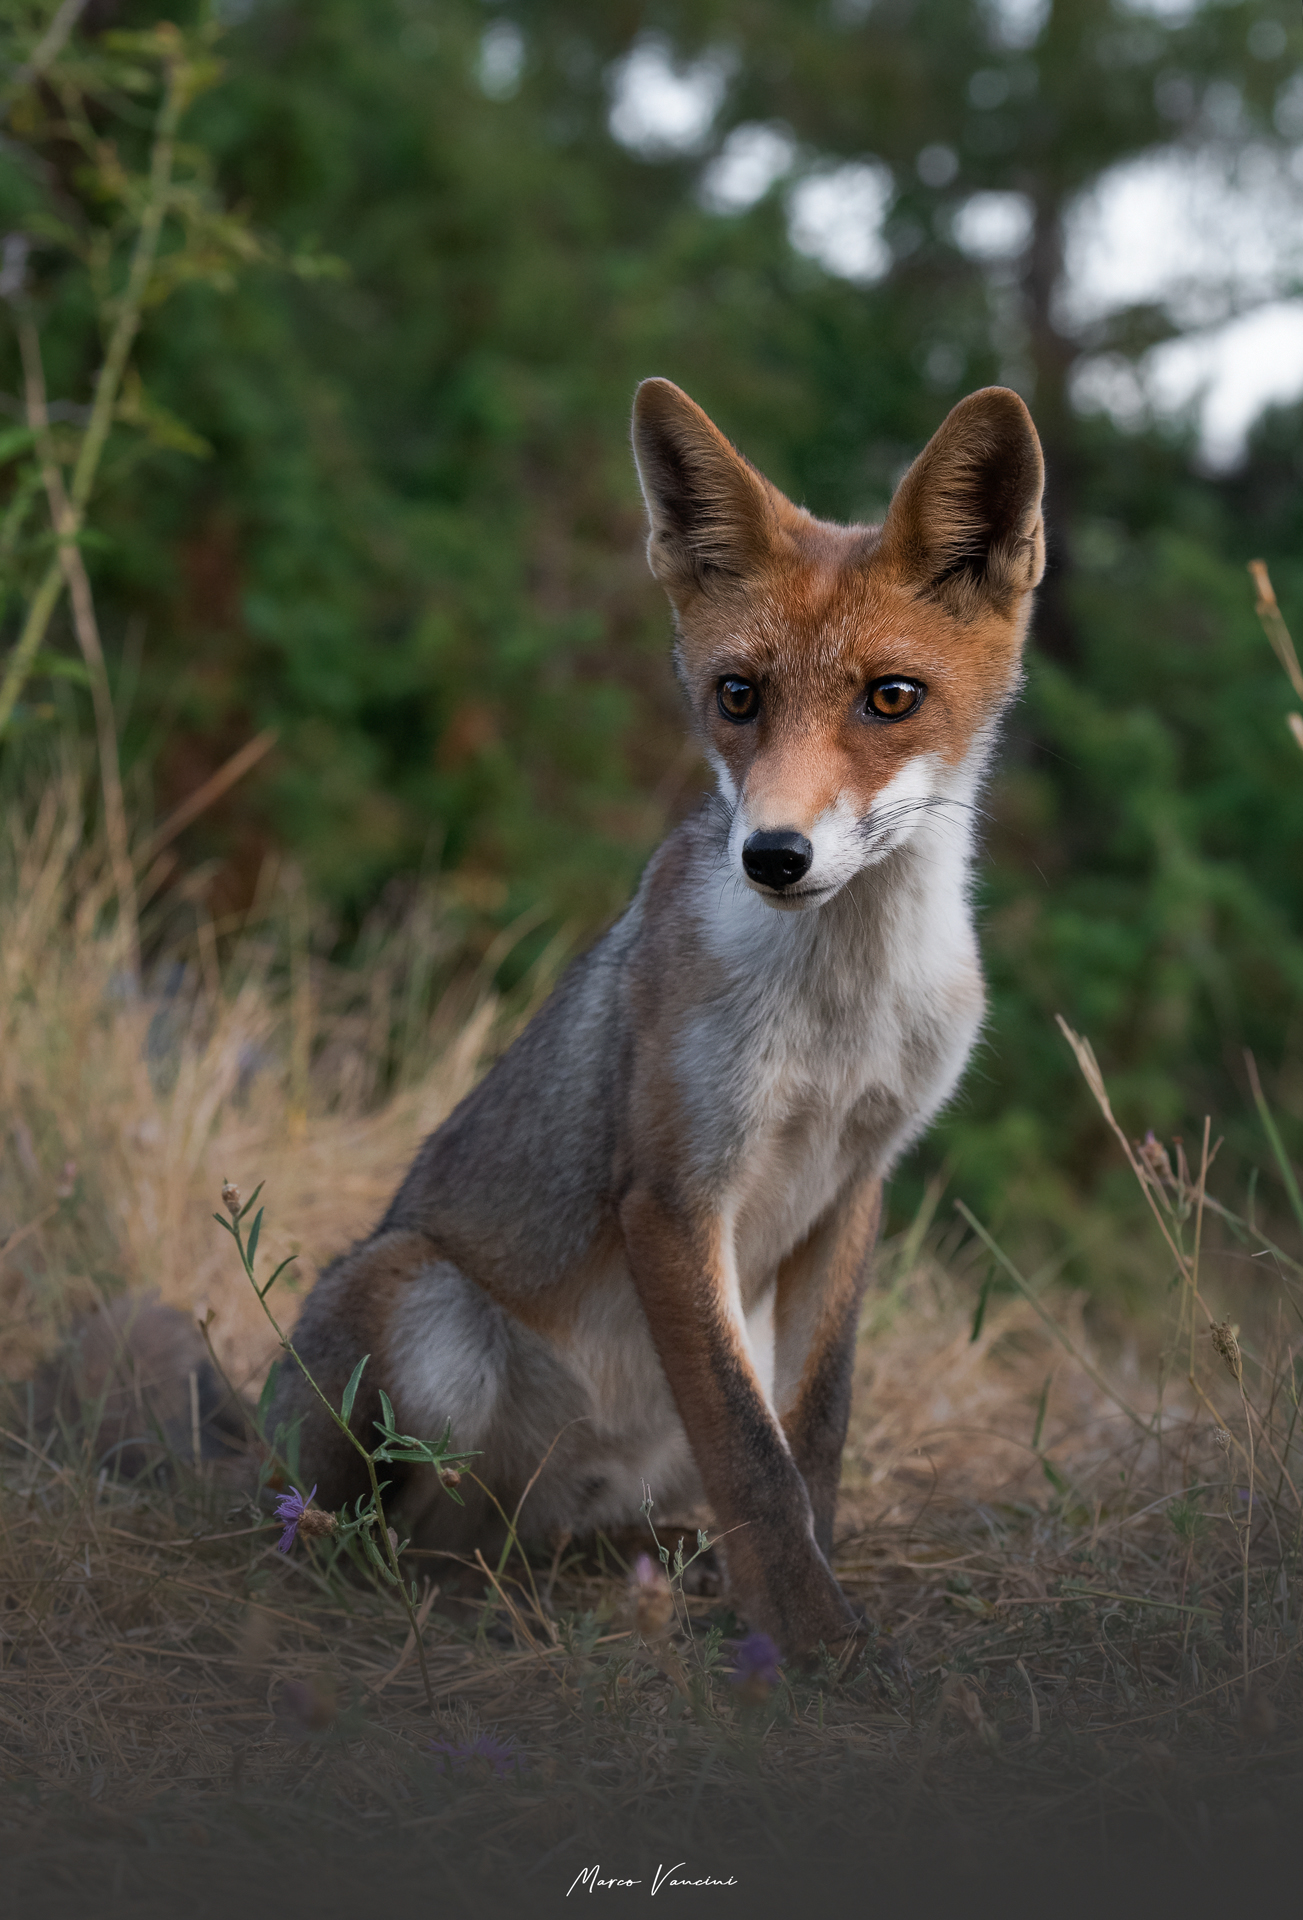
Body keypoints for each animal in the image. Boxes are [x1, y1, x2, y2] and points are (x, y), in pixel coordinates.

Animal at [273, 378, 1045, 1660]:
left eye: (891, 697)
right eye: (737, 696)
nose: (773, 856)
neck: (842, 1018)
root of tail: (534, 1524)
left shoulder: (855, 1183)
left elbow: (810, 1444)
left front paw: (807, 1610)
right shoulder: (676, 1191)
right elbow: (752, 1458)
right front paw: (816, 1651)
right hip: (414, 1298)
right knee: (392, 1534)